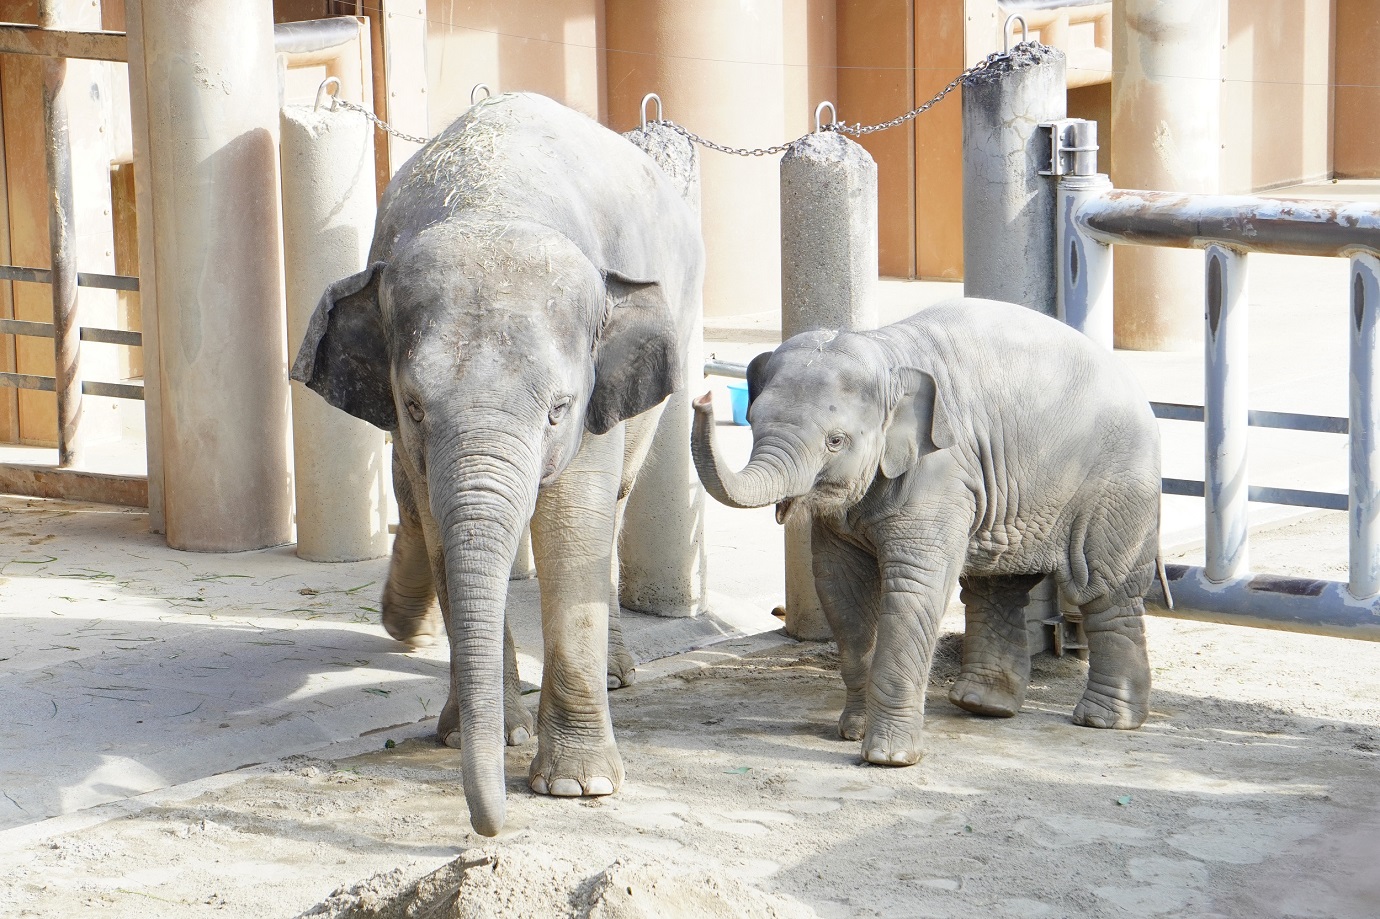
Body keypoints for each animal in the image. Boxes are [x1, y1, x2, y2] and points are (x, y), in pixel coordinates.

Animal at [291, 94, 701, 838]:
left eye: (558, 410)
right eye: (415, 405)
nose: (490, 830)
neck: (492, 202)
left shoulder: (594, 399)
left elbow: (573, 528)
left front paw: (579, 786)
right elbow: (440, 527)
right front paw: (477, 737)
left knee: (618, 501)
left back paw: (618, 673)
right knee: (413, 506)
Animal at [695, 296, 1159, 761]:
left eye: (836, 441)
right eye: (753, 420)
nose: (702, 398)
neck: (886, 352)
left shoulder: (942, 472)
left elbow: (916, 584)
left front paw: (888, 758)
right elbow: (840, 587)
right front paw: (854, 732)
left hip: (1116, 485)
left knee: (1100, 588)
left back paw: (1102, 720)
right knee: (996, 584)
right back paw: (982, 705)